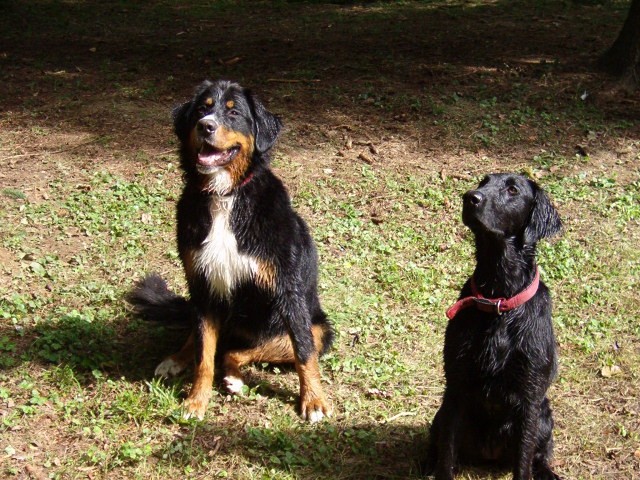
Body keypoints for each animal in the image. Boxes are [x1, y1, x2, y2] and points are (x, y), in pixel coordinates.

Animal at [127, 80, 332, 422]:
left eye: (234, 112)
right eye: (202, 109)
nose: (205, 126)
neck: (225, 196)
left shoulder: (287, 290)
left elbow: (304, 353)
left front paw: (313, 400)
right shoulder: (203, 283)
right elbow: (204, 356)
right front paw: (196, 401)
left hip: (316, 329)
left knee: (239, 352)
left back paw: (235, 378)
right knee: (207, 343)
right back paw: (177, 359)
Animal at [422, 174, 564, 478]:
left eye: (512, 189)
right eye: (483, 182)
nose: (470, 197)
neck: (499, 299)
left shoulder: (530, 397)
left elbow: (524, 461)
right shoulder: (456, 385)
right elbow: (446, 454)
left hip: (544, 417)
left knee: (540, 454)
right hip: (441, 413)